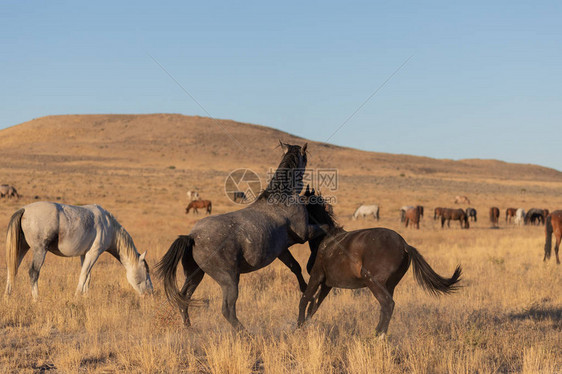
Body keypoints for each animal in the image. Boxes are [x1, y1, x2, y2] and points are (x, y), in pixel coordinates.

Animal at [4, 202, 153, 300]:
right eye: (146, 271)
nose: (151, 292)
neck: (108, 226)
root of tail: (24, 209)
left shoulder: (84, 254)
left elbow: (88, 276)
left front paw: (85, 296)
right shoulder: (93, 253)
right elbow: (83, 275)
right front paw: (77, 296)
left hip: (22, 248)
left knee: (12, 268)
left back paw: (7, 296)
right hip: (40, 251)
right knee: (33, 272)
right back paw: (36, 299)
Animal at [155, 143, 326, 330]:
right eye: (305, 156)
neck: (283, 197)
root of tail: (192, 236)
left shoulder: (282, 251)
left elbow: (295, 267)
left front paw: (307, 291)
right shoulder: (304, 234)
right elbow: (323, 229)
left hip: (195, 274)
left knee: (183, 298)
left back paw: (190, 328)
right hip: (229, 280)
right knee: (227, 309)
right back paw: (245, 332)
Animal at [298, 190, 460, 336]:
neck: (325, 239)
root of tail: (404, 244)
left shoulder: (316, 276)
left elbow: (305, 299)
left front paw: (299, 327)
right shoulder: (327, 284)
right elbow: (314, 305)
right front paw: (306, 326)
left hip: (373, 281)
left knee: (388, 304)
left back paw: (377, 334)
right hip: (390, 284)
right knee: (386, 306)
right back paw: (380, 335)